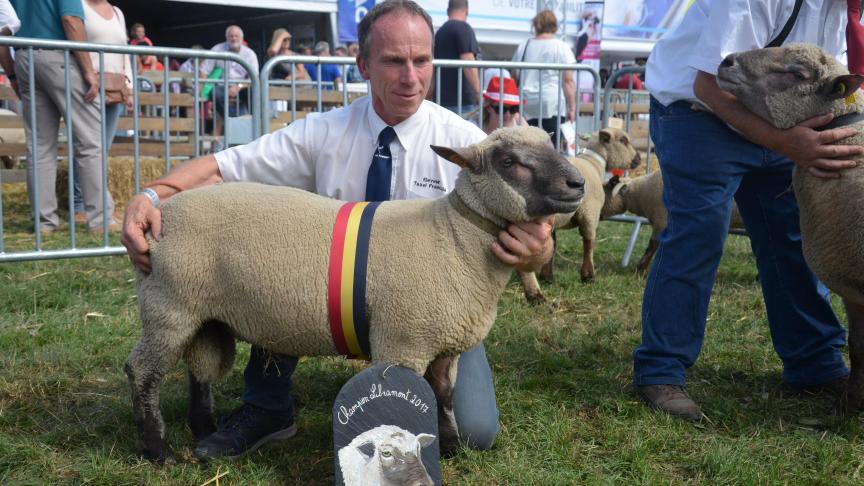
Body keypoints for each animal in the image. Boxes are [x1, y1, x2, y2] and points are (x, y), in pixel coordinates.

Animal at [512, 129, 640, 304]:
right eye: (623, 140)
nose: (638, 158)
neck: (594, 164)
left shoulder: (553, 221)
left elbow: (553, 245)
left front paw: (548, 277)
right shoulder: (589, 213)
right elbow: (589, 244)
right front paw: (588, 276)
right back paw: (535, 296)